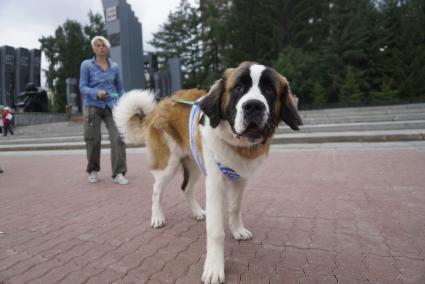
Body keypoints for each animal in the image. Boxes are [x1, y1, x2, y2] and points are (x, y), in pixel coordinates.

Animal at [112, 61, 302, 282]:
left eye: (269, 90)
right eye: (238, 88)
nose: (254, 105)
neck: (238, 145)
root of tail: (159, 106)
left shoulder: (240, 179)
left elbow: (235, 207)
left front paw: (238, 230)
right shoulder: (215, 183)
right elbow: (216, 230)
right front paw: (214, 268)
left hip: (194, 163)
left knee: (186, 188)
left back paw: (196, 212)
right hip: (169, 164)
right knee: (156, 190)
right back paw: (157, 217)